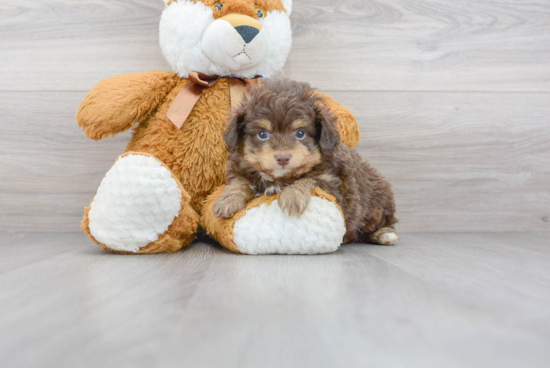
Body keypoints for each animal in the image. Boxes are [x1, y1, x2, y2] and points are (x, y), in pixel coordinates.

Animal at [213, 78, 398, 244]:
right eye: (263, 134)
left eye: (300, 133)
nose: (283, 157)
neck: (279, 179)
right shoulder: (241, 168)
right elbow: (239, 181)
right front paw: (227, 200)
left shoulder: (334, 184)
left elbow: (308, 179)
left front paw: (292, 196)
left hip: (378, 203)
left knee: (383, 221)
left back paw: (384, 234)